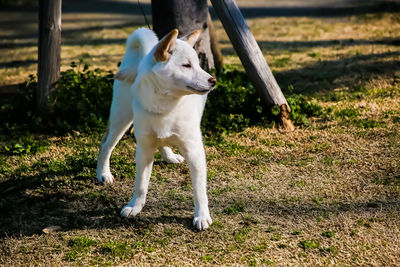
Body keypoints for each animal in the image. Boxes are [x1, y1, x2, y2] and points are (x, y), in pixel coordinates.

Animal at [97, 28, 216, 231]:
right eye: (186, 65)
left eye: (199, 65)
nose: (213, 80)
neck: (165, 107)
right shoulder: (143, 150)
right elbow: (141, 184)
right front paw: (135, 206)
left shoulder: (194, 151)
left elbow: (199, 190)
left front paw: (201, 216)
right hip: (122, 118)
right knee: (106, 145)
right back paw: (103, 174)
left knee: (161, 141)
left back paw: (169, 156)